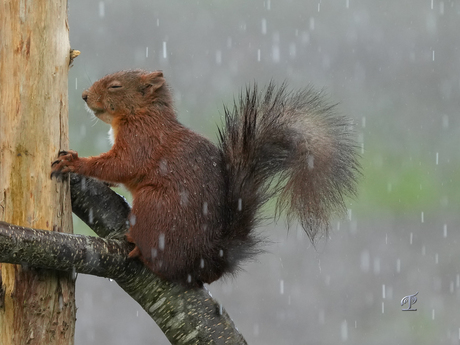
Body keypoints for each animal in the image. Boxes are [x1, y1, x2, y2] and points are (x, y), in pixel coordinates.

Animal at [51, 68, 360, 286]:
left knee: (163, 263)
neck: (142, 113)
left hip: (154, 206)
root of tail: (204, 263)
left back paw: (140, 249)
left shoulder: (142, 141)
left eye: (115, 85)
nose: (84, 95)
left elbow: (121, 165)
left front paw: (75, 162)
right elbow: (115, 175)